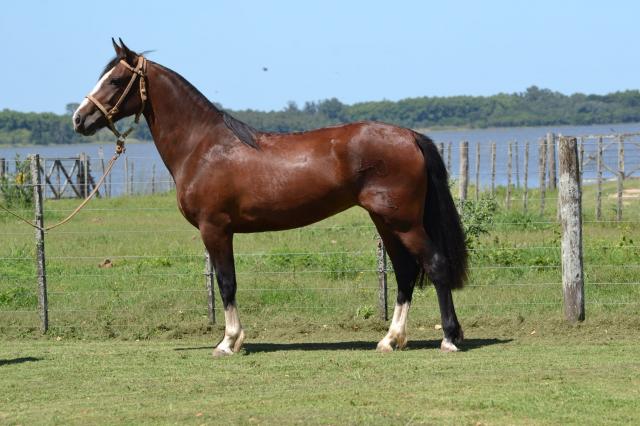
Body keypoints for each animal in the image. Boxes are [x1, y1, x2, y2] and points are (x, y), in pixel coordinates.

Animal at [73, 39, 468, 356]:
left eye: (115, 80)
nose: (80, 119)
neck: (202, 146)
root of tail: (410, 136)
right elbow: (227, 282)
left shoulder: (215, 229)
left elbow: (227, 283)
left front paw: (228, 343)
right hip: (386, 222)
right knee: (405, 273)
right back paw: (390, 340)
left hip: (403, 222)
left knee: (435, 264)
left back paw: (449, 339)